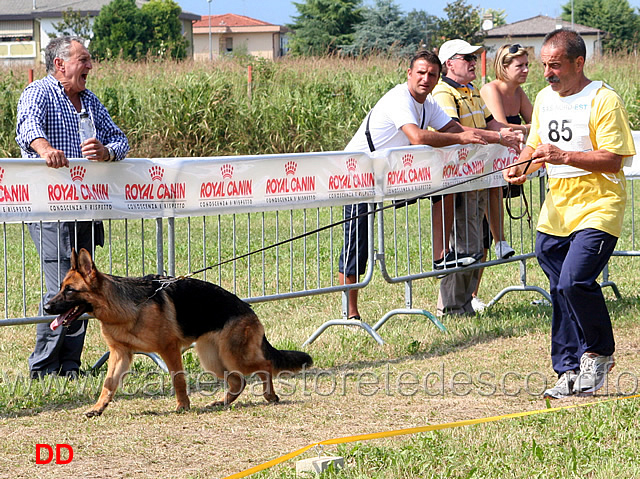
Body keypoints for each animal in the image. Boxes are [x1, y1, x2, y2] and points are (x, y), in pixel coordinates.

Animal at [43, 249, 312, 418]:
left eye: (69, 290)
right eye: (61, 288)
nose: (46, 308)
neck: (125, 307)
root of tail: (249, 309)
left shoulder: (169, 349)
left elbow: (178, 379)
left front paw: (183, 405)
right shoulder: (120, 355)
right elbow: (108, 385)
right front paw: (98, 408)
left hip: (234, 356)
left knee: (265, 365)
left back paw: (270, 395)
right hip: (213, 359)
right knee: (239, 381)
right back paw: (222, 402)